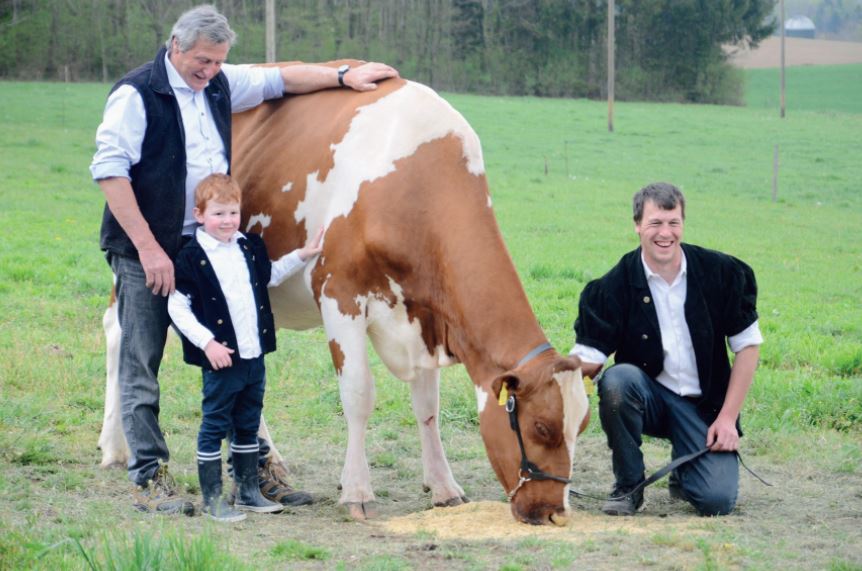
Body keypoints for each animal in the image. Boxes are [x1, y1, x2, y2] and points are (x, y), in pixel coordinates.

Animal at [98, 63, 592, 528]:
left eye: (582, 425)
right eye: (542, 427)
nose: (554, 513)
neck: (413, 183)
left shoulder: (422, 316)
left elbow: (427, 408)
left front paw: (443, 486)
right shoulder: (340, 295)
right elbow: (357, 395)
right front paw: (357, 492)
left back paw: (269, 467)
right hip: (143, 261)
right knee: (120, 335)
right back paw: (115, 448)